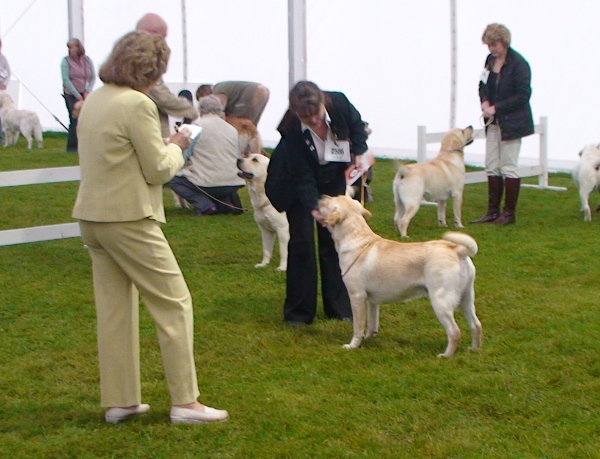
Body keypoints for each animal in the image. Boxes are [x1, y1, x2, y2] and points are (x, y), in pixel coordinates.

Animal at [318, 194, 482, 360]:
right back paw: (474, 349)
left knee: (455, 332)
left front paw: (353, 345)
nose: (322, 196)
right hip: (466, 299)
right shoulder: (371, 301)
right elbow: (372, 322)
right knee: (476, 325)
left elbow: (358, 326)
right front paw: (369, 338)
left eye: (328, 202)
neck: (356, 235)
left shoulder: (356, 296)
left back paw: (446, 355)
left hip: (441, 302)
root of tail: (458, 250)